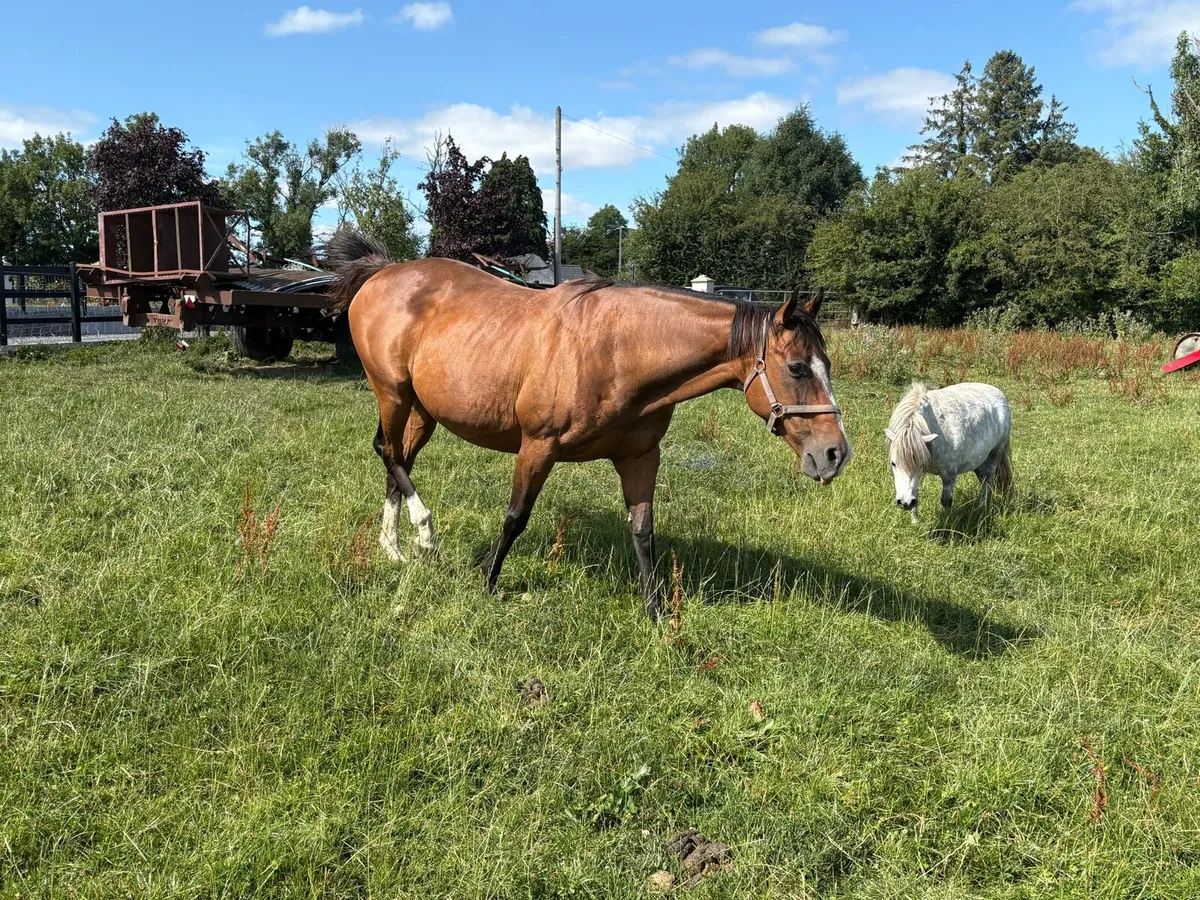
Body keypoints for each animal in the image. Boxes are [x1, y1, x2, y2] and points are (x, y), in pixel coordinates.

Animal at [326, 232, 851, 619]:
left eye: (825, 364)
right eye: (798, 368)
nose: (834, 454)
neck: (617, 351)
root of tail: (382, 272)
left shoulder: (640, 457)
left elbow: (644, 531)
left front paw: (655, 611)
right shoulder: (537, 448)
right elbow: (515, 518)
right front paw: (488, 582)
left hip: (422, 409)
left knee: (398, 458)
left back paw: (394, 547)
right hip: (392, 392)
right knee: (388, 452)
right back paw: (424, 533)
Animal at [884, 382, 1012, 522]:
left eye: (921, 464)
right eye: (893, 464)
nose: (905, 502)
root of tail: (999, 394)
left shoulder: (949, 476)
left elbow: (946, 501)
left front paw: (947, 523)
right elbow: (915, 495)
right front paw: (915, 522)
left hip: (996, 453)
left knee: (989, 478)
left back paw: (982, 506)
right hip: (978, 461)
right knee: (984, 479)